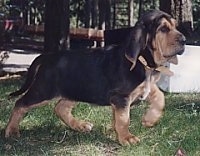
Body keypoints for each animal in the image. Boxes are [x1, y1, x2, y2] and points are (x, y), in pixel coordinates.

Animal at [5, 10, 186, 146]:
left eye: (175, 26)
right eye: (163, 29)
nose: (184, 40)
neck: (143, 62)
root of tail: (47, 56)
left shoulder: (144, 87)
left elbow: (159, 97)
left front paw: (150, 120)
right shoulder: (121, 97)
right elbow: (124, 119)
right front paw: (126, 138)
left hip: (76, 90)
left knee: (60, 108)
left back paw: (80, 126)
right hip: (44, 91)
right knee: (20, 103)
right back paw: (11, 130)